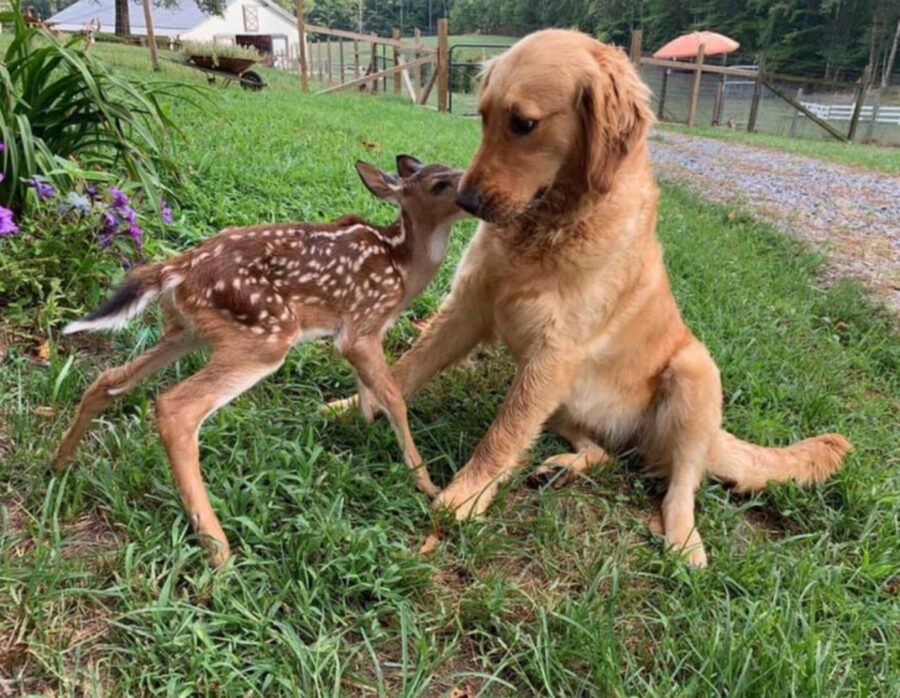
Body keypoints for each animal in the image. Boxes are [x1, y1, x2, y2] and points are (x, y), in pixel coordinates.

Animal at [332, 28, 852, 564]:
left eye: (524, 124)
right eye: (482, 116)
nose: (467, 202)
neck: (548, 225)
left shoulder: (554, 352)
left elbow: (502, 434)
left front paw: (464, 497)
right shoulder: (470, 309)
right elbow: (405, 371)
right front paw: (351, 406)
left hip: (693, 372)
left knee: (682, 483)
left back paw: (684, 543)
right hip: (562, 399)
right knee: (603, 451)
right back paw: (562, 466)